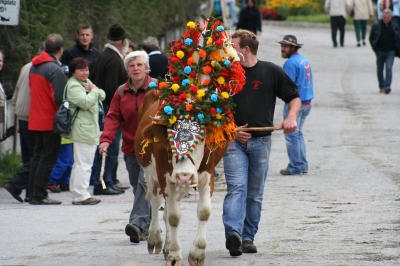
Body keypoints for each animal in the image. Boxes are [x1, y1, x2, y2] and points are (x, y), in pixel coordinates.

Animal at [135, 90, 227, 266]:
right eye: (170, 138)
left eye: (202, 138)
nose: (184, 176)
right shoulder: (165, 177)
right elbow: (174, 217)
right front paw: (175, 255)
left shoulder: (208, 174)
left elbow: (204, 212)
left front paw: (198, 252)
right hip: (150, 174)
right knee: (156, 201)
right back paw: (155, 239)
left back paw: (166, 246)